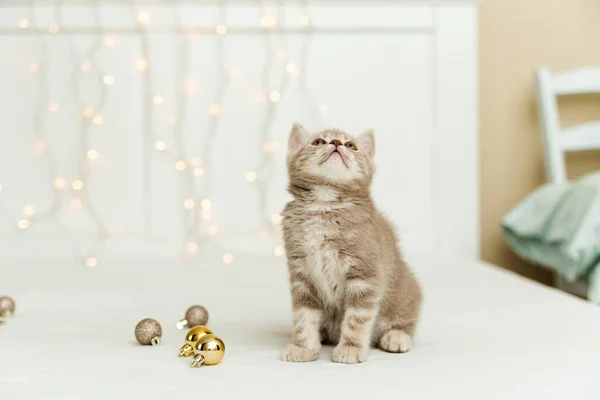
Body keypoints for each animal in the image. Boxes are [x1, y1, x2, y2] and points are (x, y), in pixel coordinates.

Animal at [282, 123, 422, 364]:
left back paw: (396, 336)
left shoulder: (365, 275)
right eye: (318, 142)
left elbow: (357, 318)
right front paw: (304, 347)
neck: (324, 204)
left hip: (407, 291)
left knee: (405, 320)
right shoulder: (302, 276)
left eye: (351, 146)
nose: (337, 143)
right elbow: (303, 316)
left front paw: (350, 348)